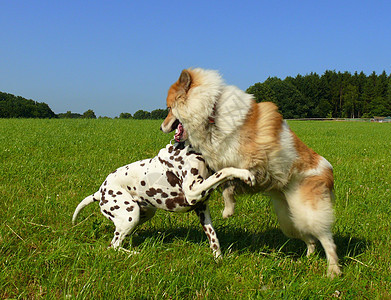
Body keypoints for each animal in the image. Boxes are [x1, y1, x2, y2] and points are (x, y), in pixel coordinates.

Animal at [72, 141, 258, 258]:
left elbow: (214, 238)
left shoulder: (202, 207)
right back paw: (134, 254)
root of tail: (99, 192)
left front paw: (218, 259)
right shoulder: (194, 193)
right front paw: (245, 174)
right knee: (114, 246)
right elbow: (224, 171)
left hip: (144, 213)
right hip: (130, 214)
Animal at [161, 67, 342, 276]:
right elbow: (226, 185)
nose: (161, 127)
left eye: (168, 108)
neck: (212, 112)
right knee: (311, 240)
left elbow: (236, 174)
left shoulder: (252, 158)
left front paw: (243, 186)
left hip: (309, 213)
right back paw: (307, 259)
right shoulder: (223, 161)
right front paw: (228, 210)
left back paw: (333, 271)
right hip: (290, 221)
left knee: (328, 241)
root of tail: (329, 171)